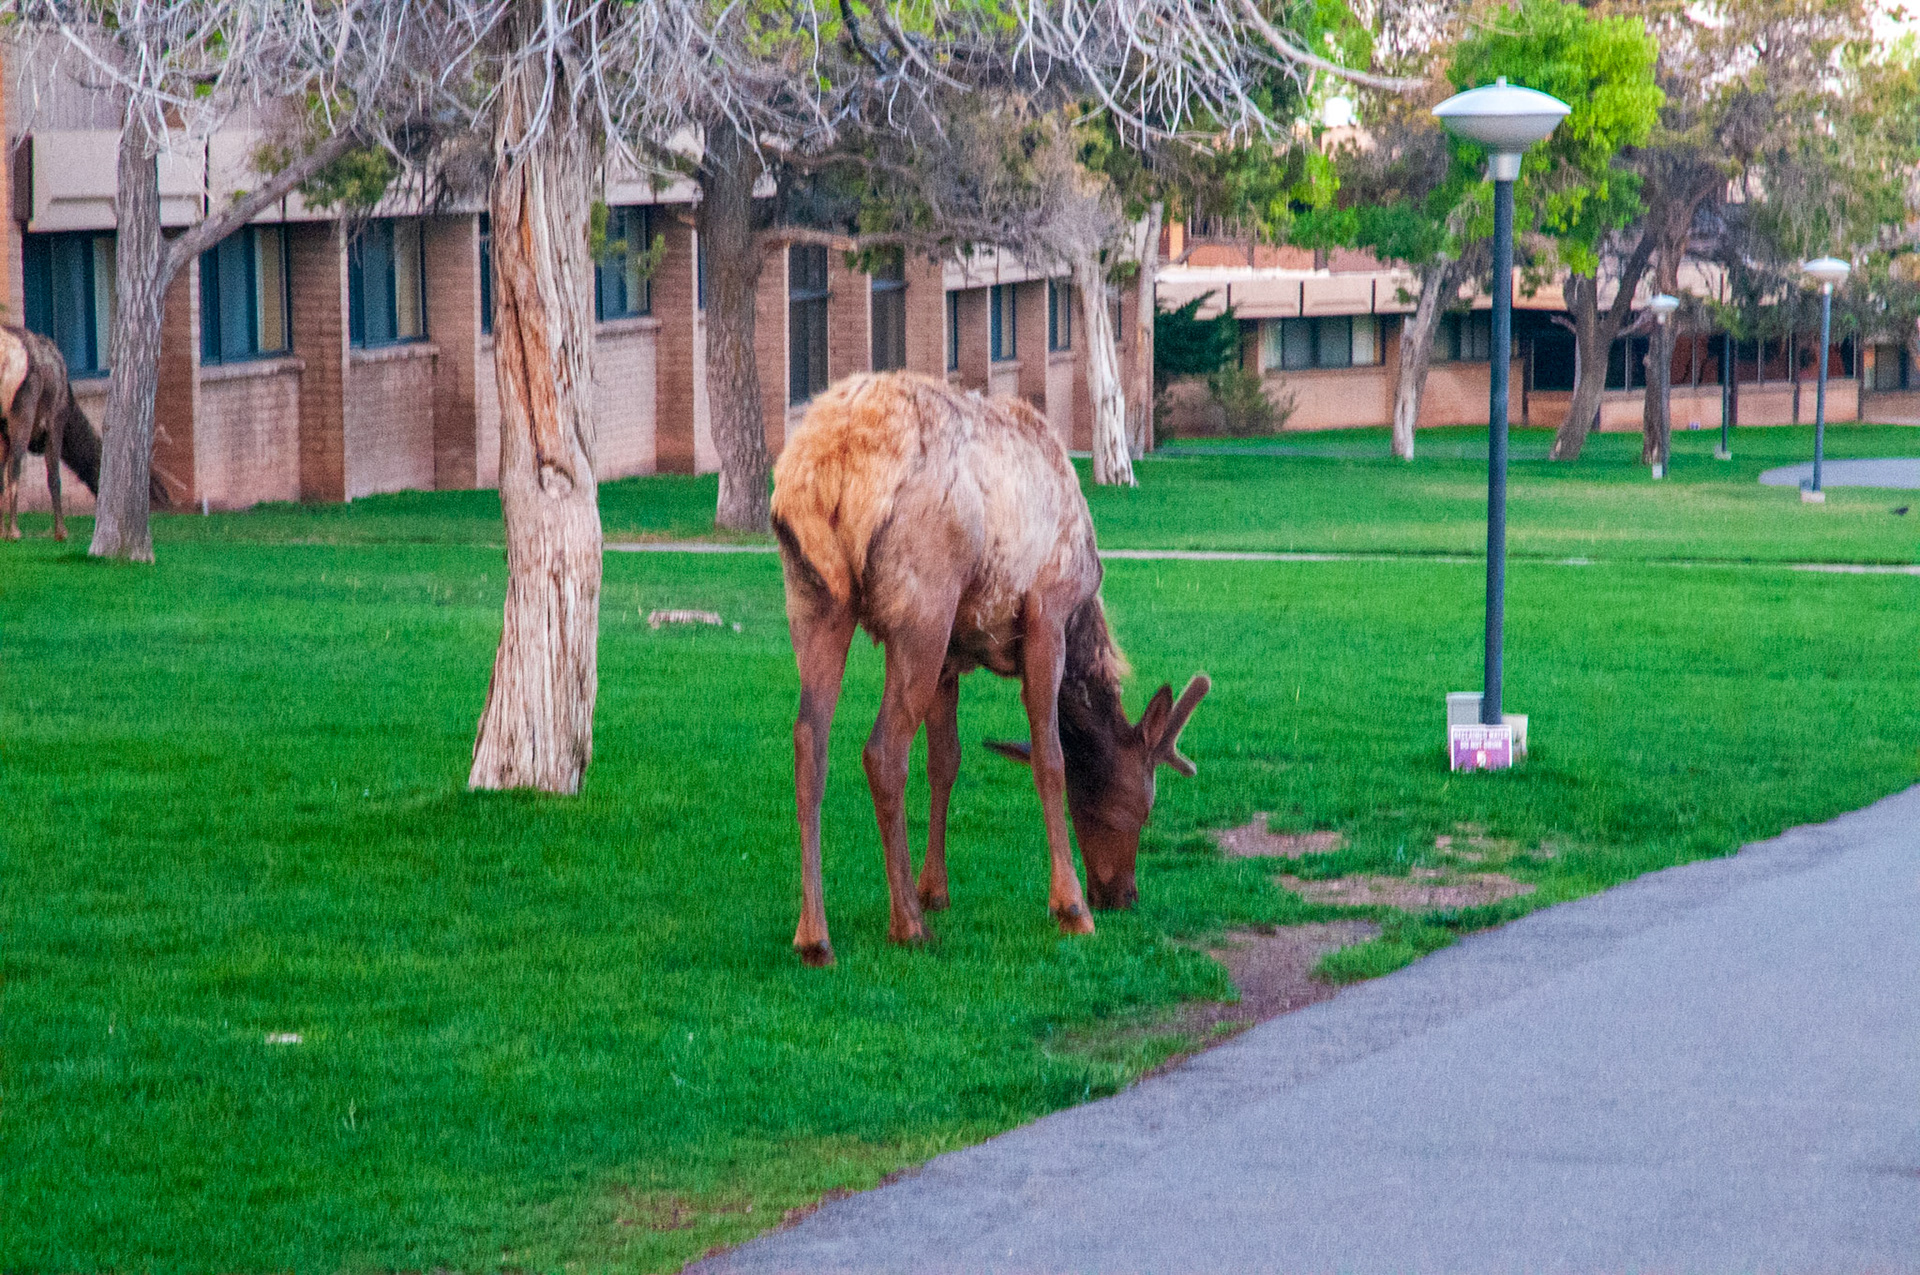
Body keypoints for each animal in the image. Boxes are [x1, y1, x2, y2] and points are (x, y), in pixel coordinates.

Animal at [1, 323, 105, 542]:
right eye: (101, 466)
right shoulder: (56, 421)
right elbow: (54, 477)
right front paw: (61, 531)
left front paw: (0, 530)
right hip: (23, 407)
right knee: (15, 466)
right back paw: (14, 531)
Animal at [770, 371, 1209, 967]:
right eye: (1143, 806)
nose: (1122, 895)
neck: (1083, 611)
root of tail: (831, 467)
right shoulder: (1047, 610)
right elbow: (1050, 758)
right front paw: (1070, 908)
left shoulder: (953, 654)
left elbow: (946, 761)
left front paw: (934, 890)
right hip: (923, 602)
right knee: (882, 750)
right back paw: (905, 926)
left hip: (815, 598)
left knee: (809, 741)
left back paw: (815, 935)